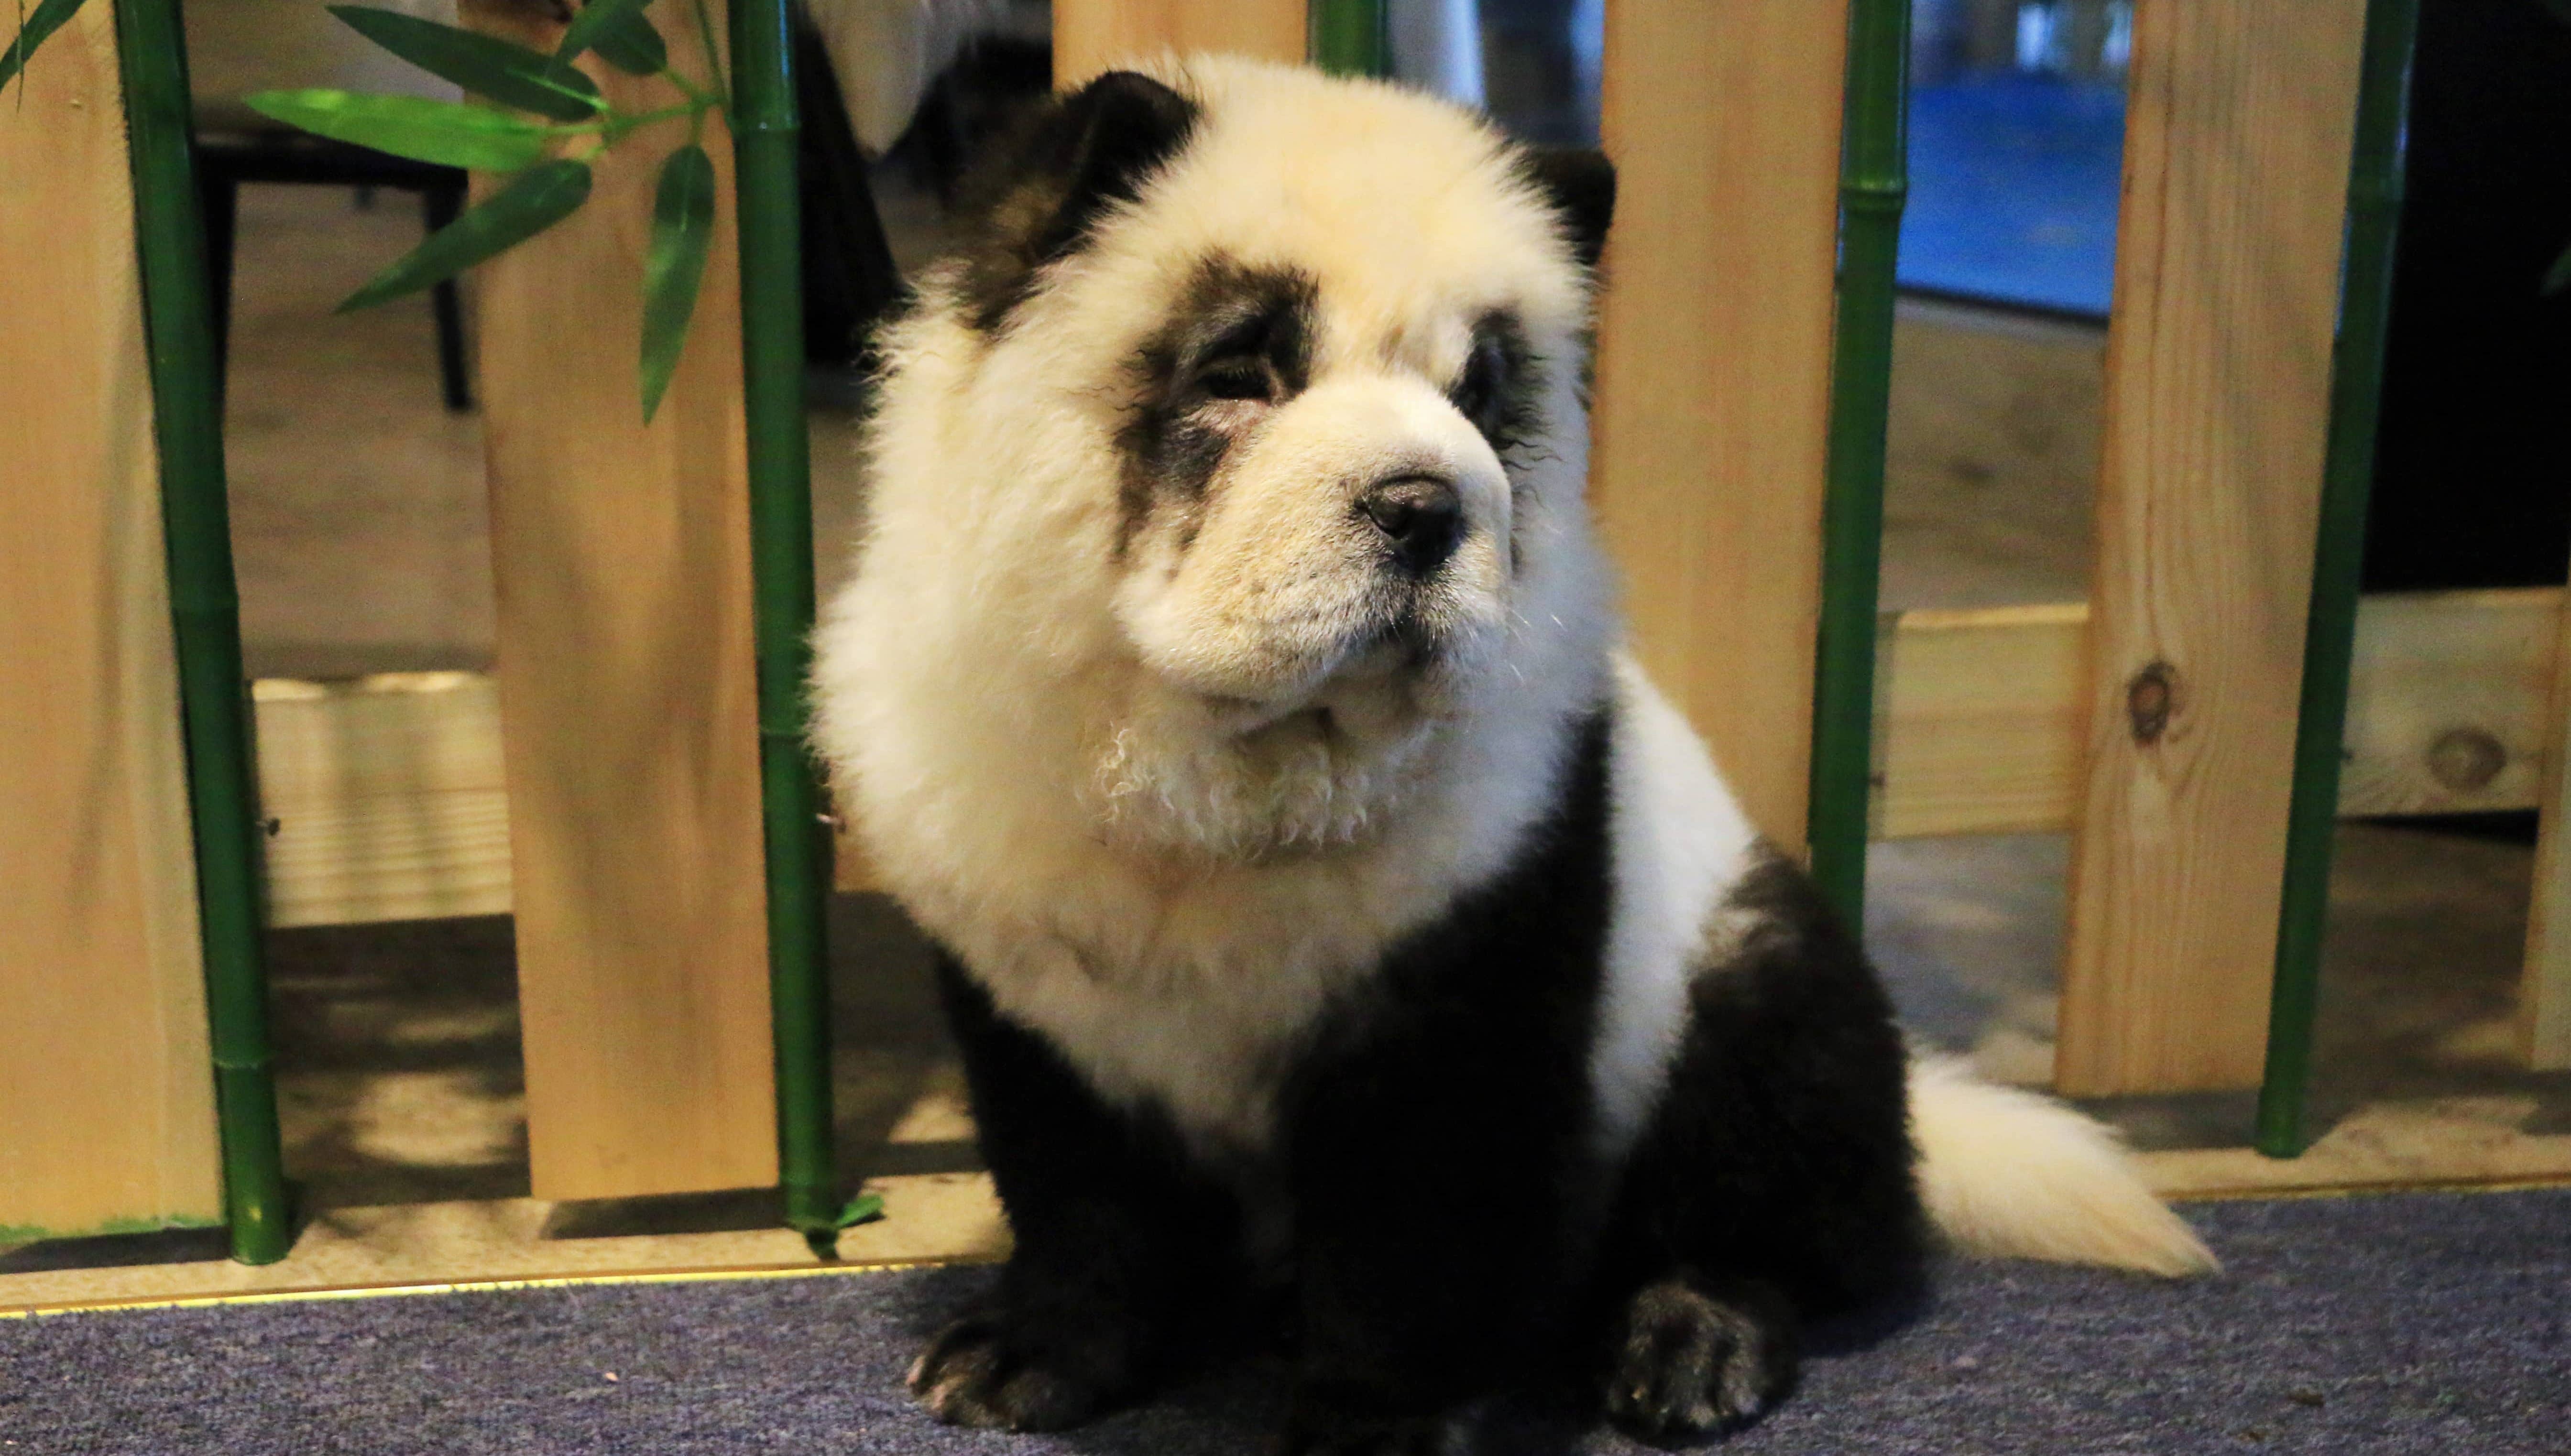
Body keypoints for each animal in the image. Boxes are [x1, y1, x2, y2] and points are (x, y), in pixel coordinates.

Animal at [812, 51, 2221, 1451]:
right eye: (1244, 375)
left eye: (1478, 396)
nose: (1425, 504)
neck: (1228, 774)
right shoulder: (1024, 967)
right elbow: (1076, 1191)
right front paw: (1030, 1358)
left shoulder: (1478, 948)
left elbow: (1408, 1242)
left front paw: (1365, 1431)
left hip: (1740, 969)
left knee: (1791, 1198)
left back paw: (1694, 1332)